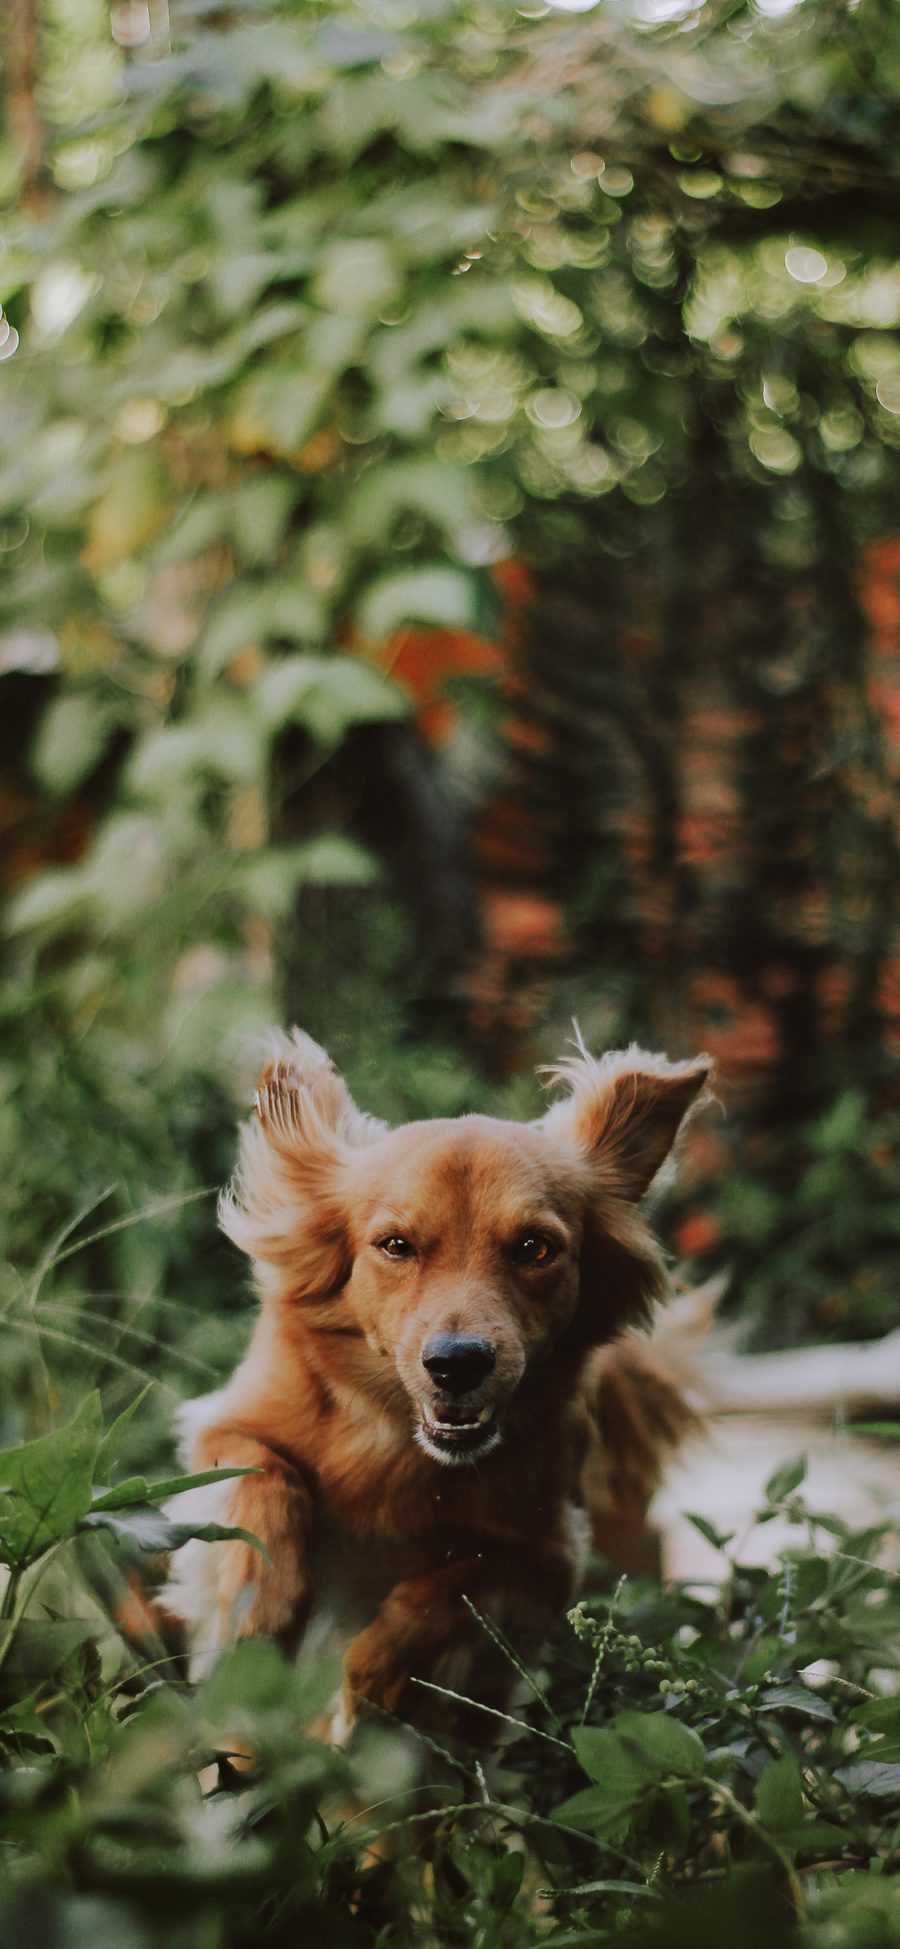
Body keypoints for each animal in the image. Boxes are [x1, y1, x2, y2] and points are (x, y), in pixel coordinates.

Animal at [166, 1029, 709, 1746]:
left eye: (535, 1248)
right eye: (396, 1245)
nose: (458, 1363)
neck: (401, 1450)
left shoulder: (548, 1554)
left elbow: (452, 1588)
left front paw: (374, 1679)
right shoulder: (223, 1426)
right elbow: (265, 1474)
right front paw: (262, 1602)